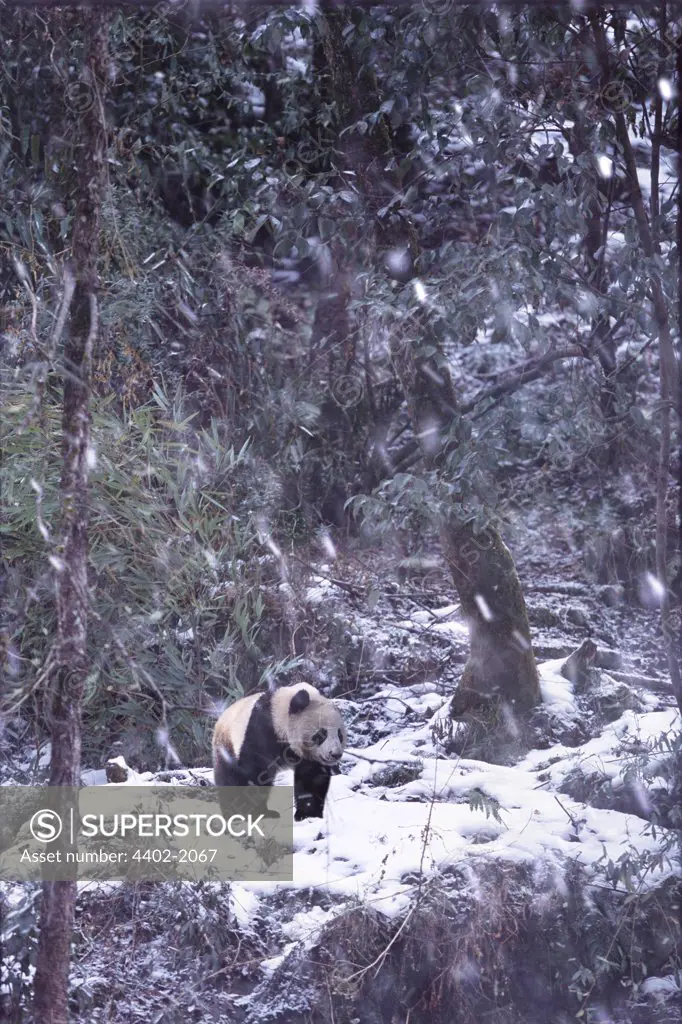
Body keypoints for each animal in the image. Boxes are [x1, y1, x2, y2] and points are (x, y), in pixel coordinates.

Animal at [210, 684, 346, 819]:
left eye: (340, 735)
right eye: (322, 734)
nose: (335, 754)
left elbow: (311, 778)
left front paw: (308, 814)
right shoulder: (260, 730)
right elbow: (257, 772)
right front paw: (253, 811)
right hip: (225, 744)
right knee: (228, 776)